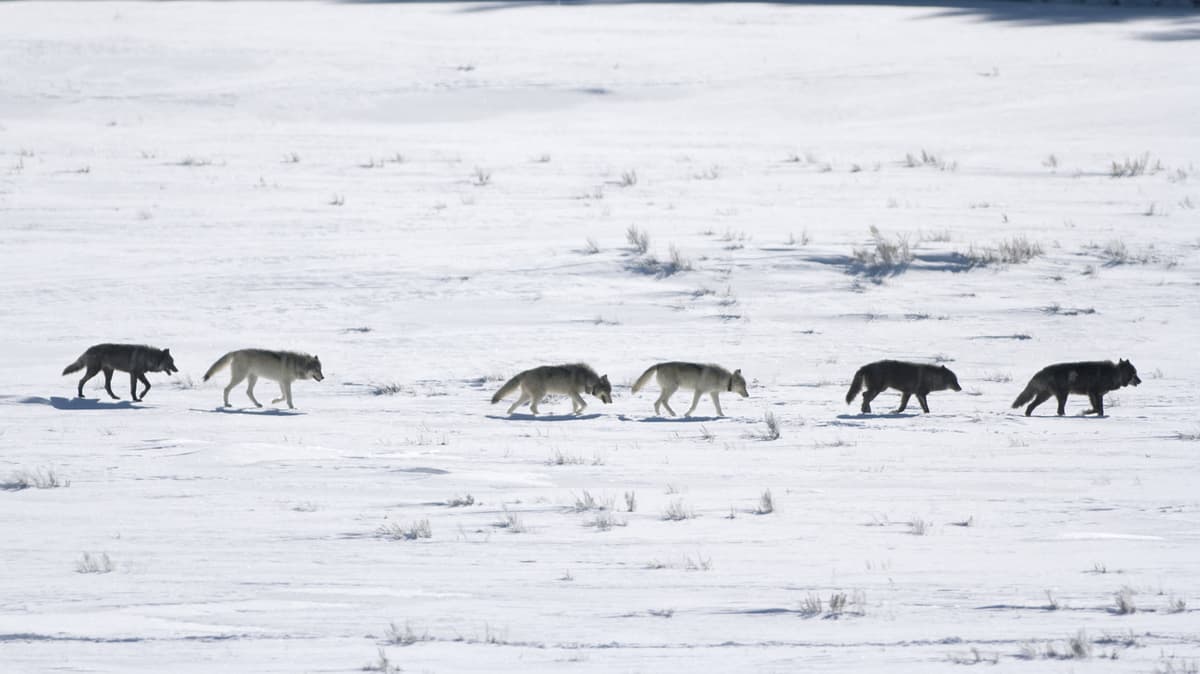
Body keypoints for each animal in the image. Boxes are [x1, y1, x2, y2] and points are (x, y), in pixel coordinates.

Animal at [1012, 359, 1140, 417]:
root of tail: (1041, 371)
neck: (1113, 374)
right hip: (1062, 396)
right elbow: (1096, 408)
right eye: (1134, 373)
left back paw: (1028, 415)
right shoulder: (1092, 393)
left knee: (1030, 405)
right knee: (1059, 410)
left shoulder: (1099, 395)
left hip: (1046, 396)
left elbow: (1100, 409)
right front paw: (1084, 412)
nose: (1140, 381)